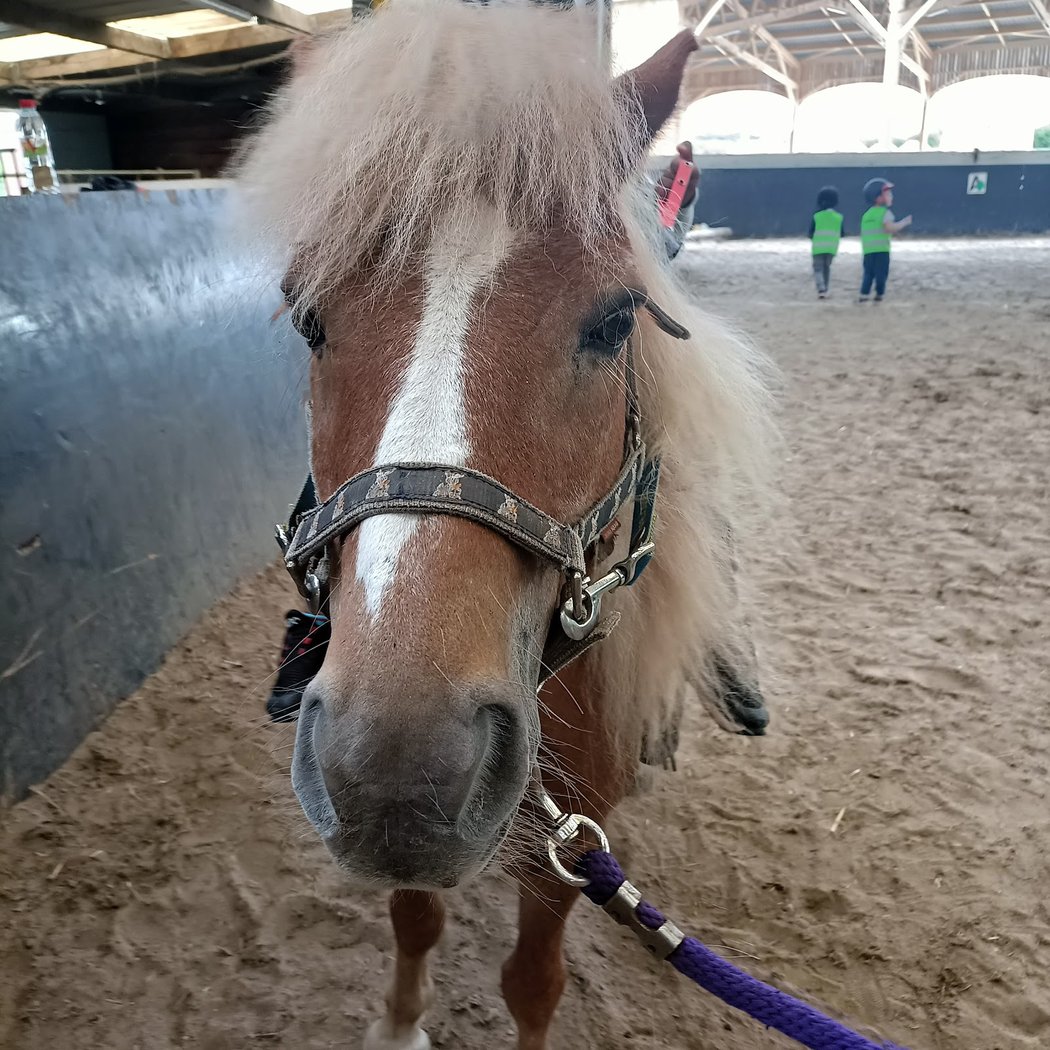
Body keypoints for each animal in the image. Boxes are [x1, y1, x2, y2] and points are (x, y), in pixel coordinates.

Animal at [236, 2, 772, 1046]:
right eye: (309, 317)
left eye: (613, 322)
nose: (397, 772)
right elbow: (414, 917)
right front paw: (401, 1024)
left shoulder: (573, 848)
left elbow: (532, 979)